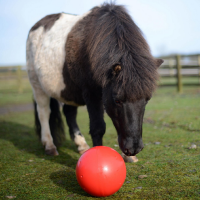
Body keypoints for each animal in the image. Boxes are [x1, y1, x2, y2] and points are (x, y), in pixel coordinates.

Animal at [26, 3, 162, 162]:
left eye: (147, 100)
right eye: (117, 100)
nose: (134, 148)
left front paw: (128, 156)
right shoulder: (91, 93)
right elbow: (98, 127)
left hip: (68, 90)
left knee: (69, 113)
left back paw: (81, 144)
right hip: (37, 84)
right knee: (43, 112)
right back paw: (49, 145)